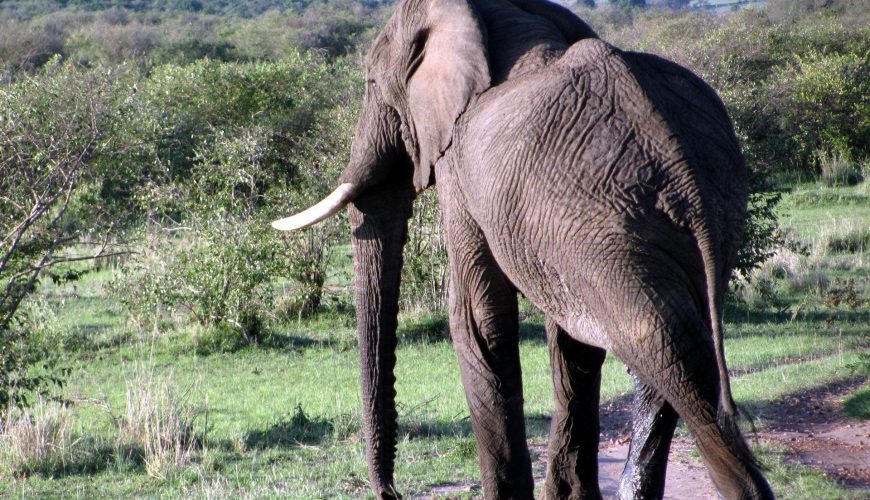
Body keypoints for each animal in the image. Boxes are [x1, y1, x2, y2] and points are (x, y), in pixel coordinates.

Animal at [272, 0, 774, 498]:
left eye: (372, 83)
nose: (390, 492)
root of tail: (683, 168)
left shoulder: (462, 168)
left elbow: (475, 316)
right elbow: (571, 342)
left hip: (615, 222)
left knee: (663, 350)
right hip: (682, 213)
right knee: (669, 348)